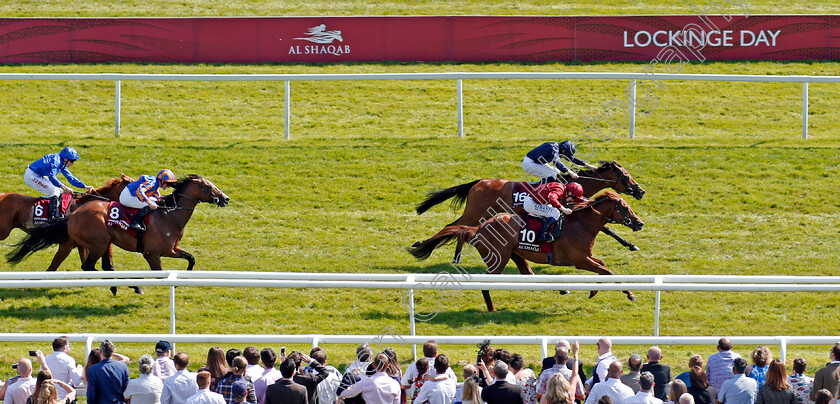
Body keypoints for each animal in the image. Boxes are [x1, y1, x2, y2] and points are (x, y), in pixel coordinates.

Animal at [406, 191, 644, 310]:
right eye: (625, 207)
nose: (639, 223)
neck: (581, 223)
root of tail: (478, 228)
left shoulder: (587, 257)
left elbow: (604, 267)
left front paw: (594, 290)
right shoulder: (580, 260)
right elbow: (609, 271)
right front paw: (630, 294)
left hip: (517, 255)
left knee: (528, 274)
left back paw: (561, 290)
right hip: (498, 259)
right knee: (487, 283)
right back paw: (491, 309)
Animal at [416, 160, 648, 258]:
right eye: (626, 176)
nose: (641, 191)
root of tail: (478, 182)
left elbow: (608, 229)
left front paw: (630, 244)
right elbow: (608, 229)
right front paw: (630, 244)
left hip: (480, 214)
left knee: (459, 228)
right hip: (476, 212)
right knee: (453, 225)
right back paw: (430, 247)